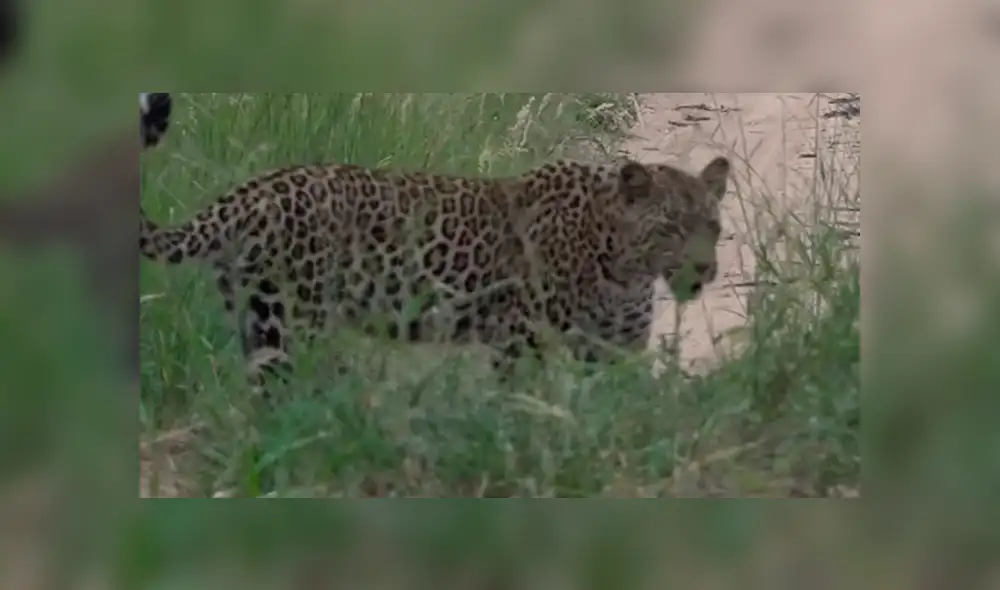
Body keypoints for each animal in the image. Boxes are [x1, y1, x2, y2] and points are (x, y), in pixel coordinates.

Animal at [140, 153, 731, 396]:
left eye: (714, 226)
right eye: (671, 229)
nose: (704, 268)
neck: (624, 265)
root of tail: (249, 192)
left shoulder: (612, 351)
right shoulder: (519, 340)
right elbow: (517, 398)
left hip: (257, 316)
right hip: (289, 322)